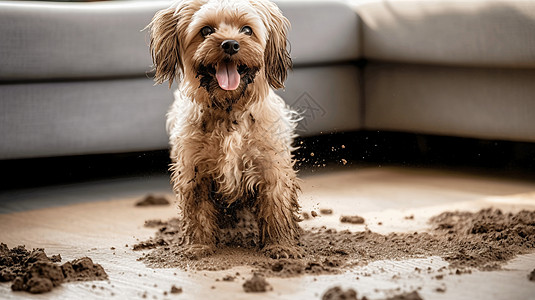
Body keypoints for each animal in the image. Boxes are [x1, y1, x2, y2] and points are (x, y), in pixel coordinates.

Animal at [149, 0, 304, 258]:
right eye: (206, 30)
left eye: (247, 30)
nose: (230, 44)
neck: (229, 111)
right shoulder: (194, 171)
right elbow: (197, 212)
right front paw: (198, 246)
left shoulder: (271, 166)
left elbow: (276, 208)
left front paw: (281, 246)